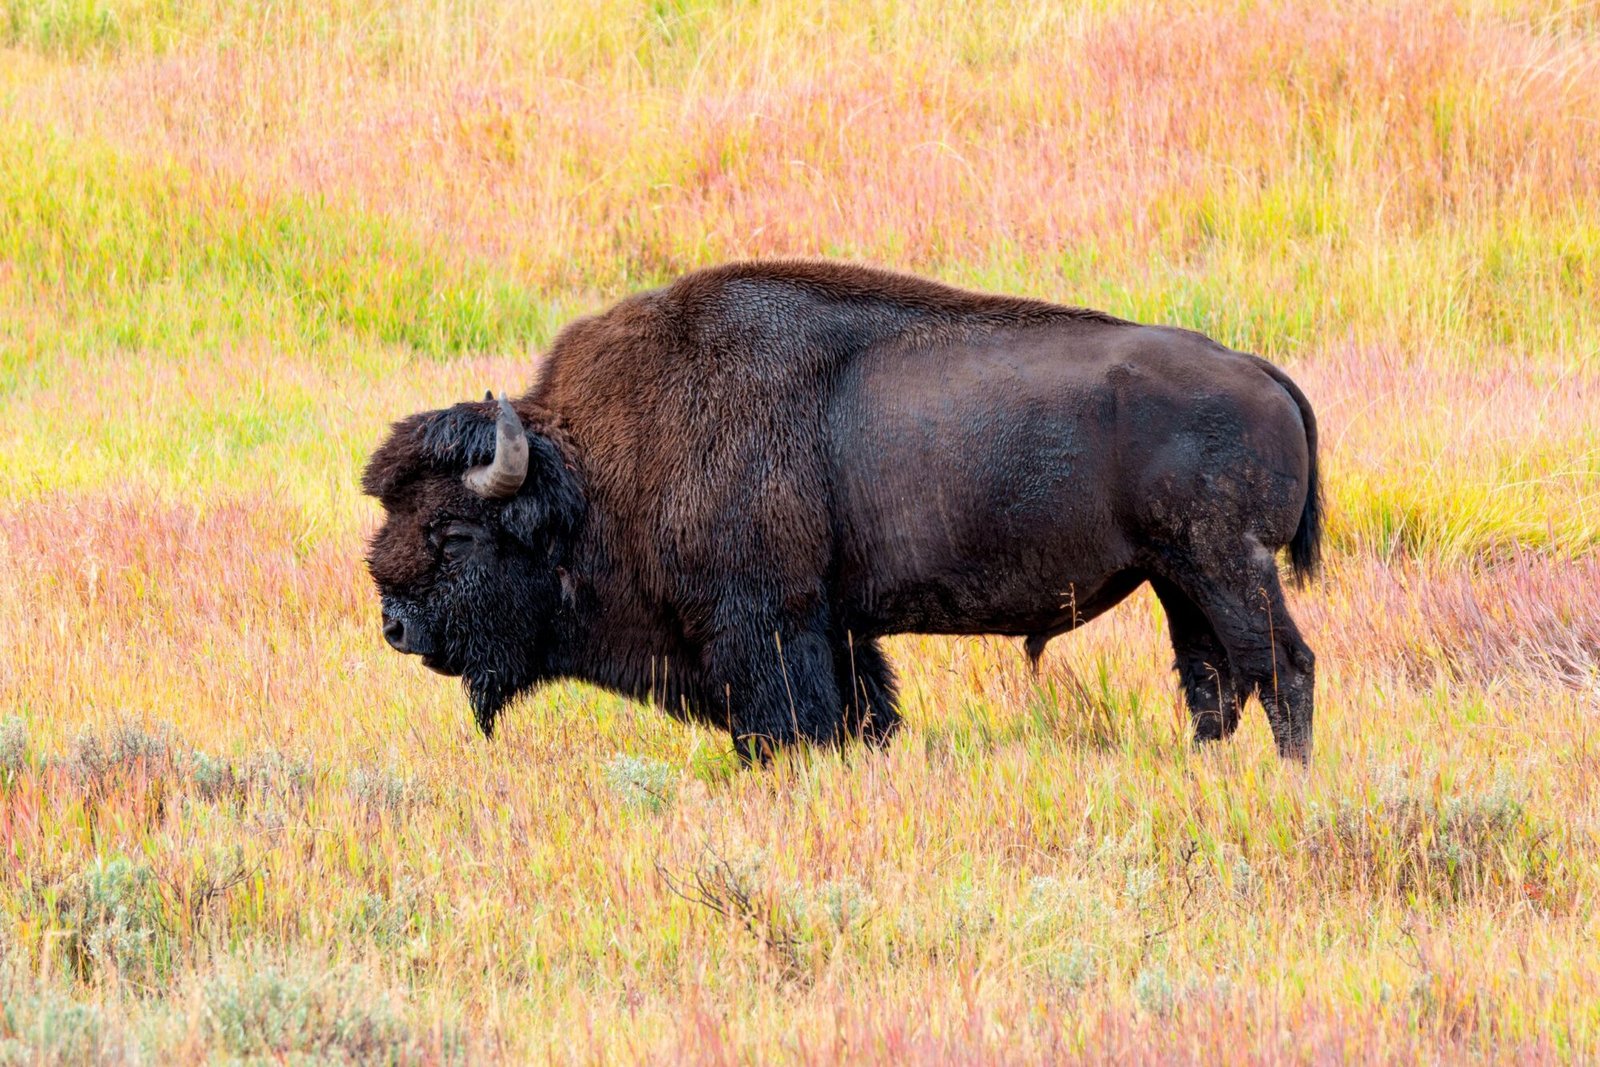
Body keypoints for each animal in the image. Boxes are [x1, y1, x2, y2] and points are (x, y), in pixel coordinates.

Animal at [363, 261, 1321, 760]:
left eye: (454, 531)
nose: (396, 627)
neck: (593, 471)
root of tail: (1255, 368)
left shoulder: (766, 627)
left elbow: (789, 723)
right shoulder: (838, 628)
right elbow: (868, 711)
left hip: (1225, 565)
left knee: (1280, 667)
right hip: (1176, 577)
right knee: (1212, 678)